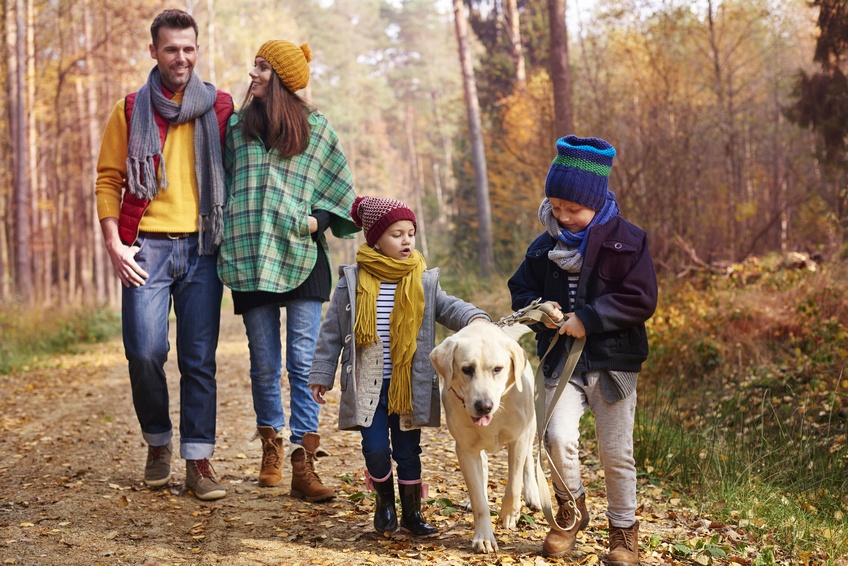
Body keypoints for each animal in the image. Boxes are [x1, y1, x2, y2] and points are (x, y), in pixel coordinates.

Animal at [430, 322, 544, 556]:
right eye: (467, 369)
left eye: (497, 369)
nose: (484, 406)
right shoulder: (465, 449)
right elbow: (479, 500)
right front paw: (483, 537)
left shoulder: (518, 439)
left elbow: (514, 483)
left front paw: (510, 513)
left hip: (531, 427)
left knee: (528, 460)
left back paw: (532, 496)